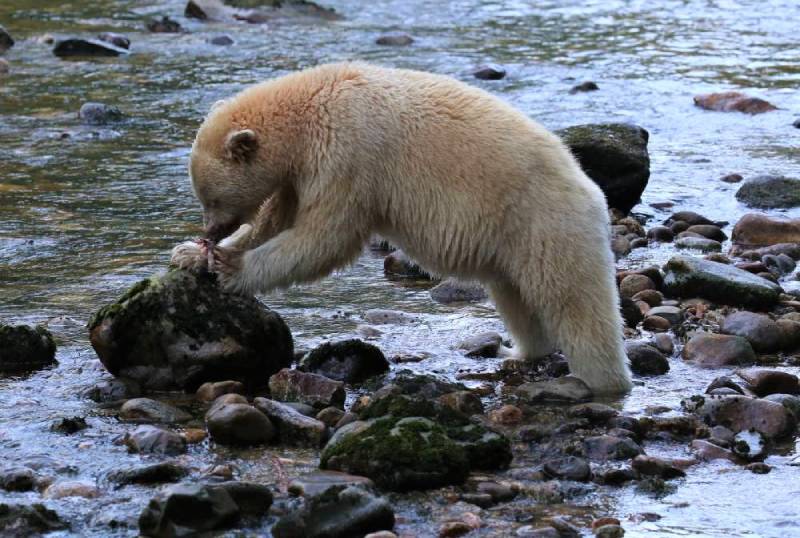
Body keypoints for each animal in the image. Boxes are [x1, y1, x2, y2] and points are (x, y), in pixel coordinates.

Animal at [171, 62, 632, 394]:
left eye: (212, 198)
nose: (209, 230)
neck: (311, 104)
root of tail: (591, 193)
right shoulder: (301, 172)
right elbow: (277, 218)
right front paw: (190, 254)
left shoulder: (348, 153)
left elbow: (324, 236)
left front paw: (230, 268)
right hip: (516, 242)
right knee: (515, 297)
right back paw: (516, 352)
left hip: (546, 226)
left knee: (576, 305)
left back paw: (598, 382)